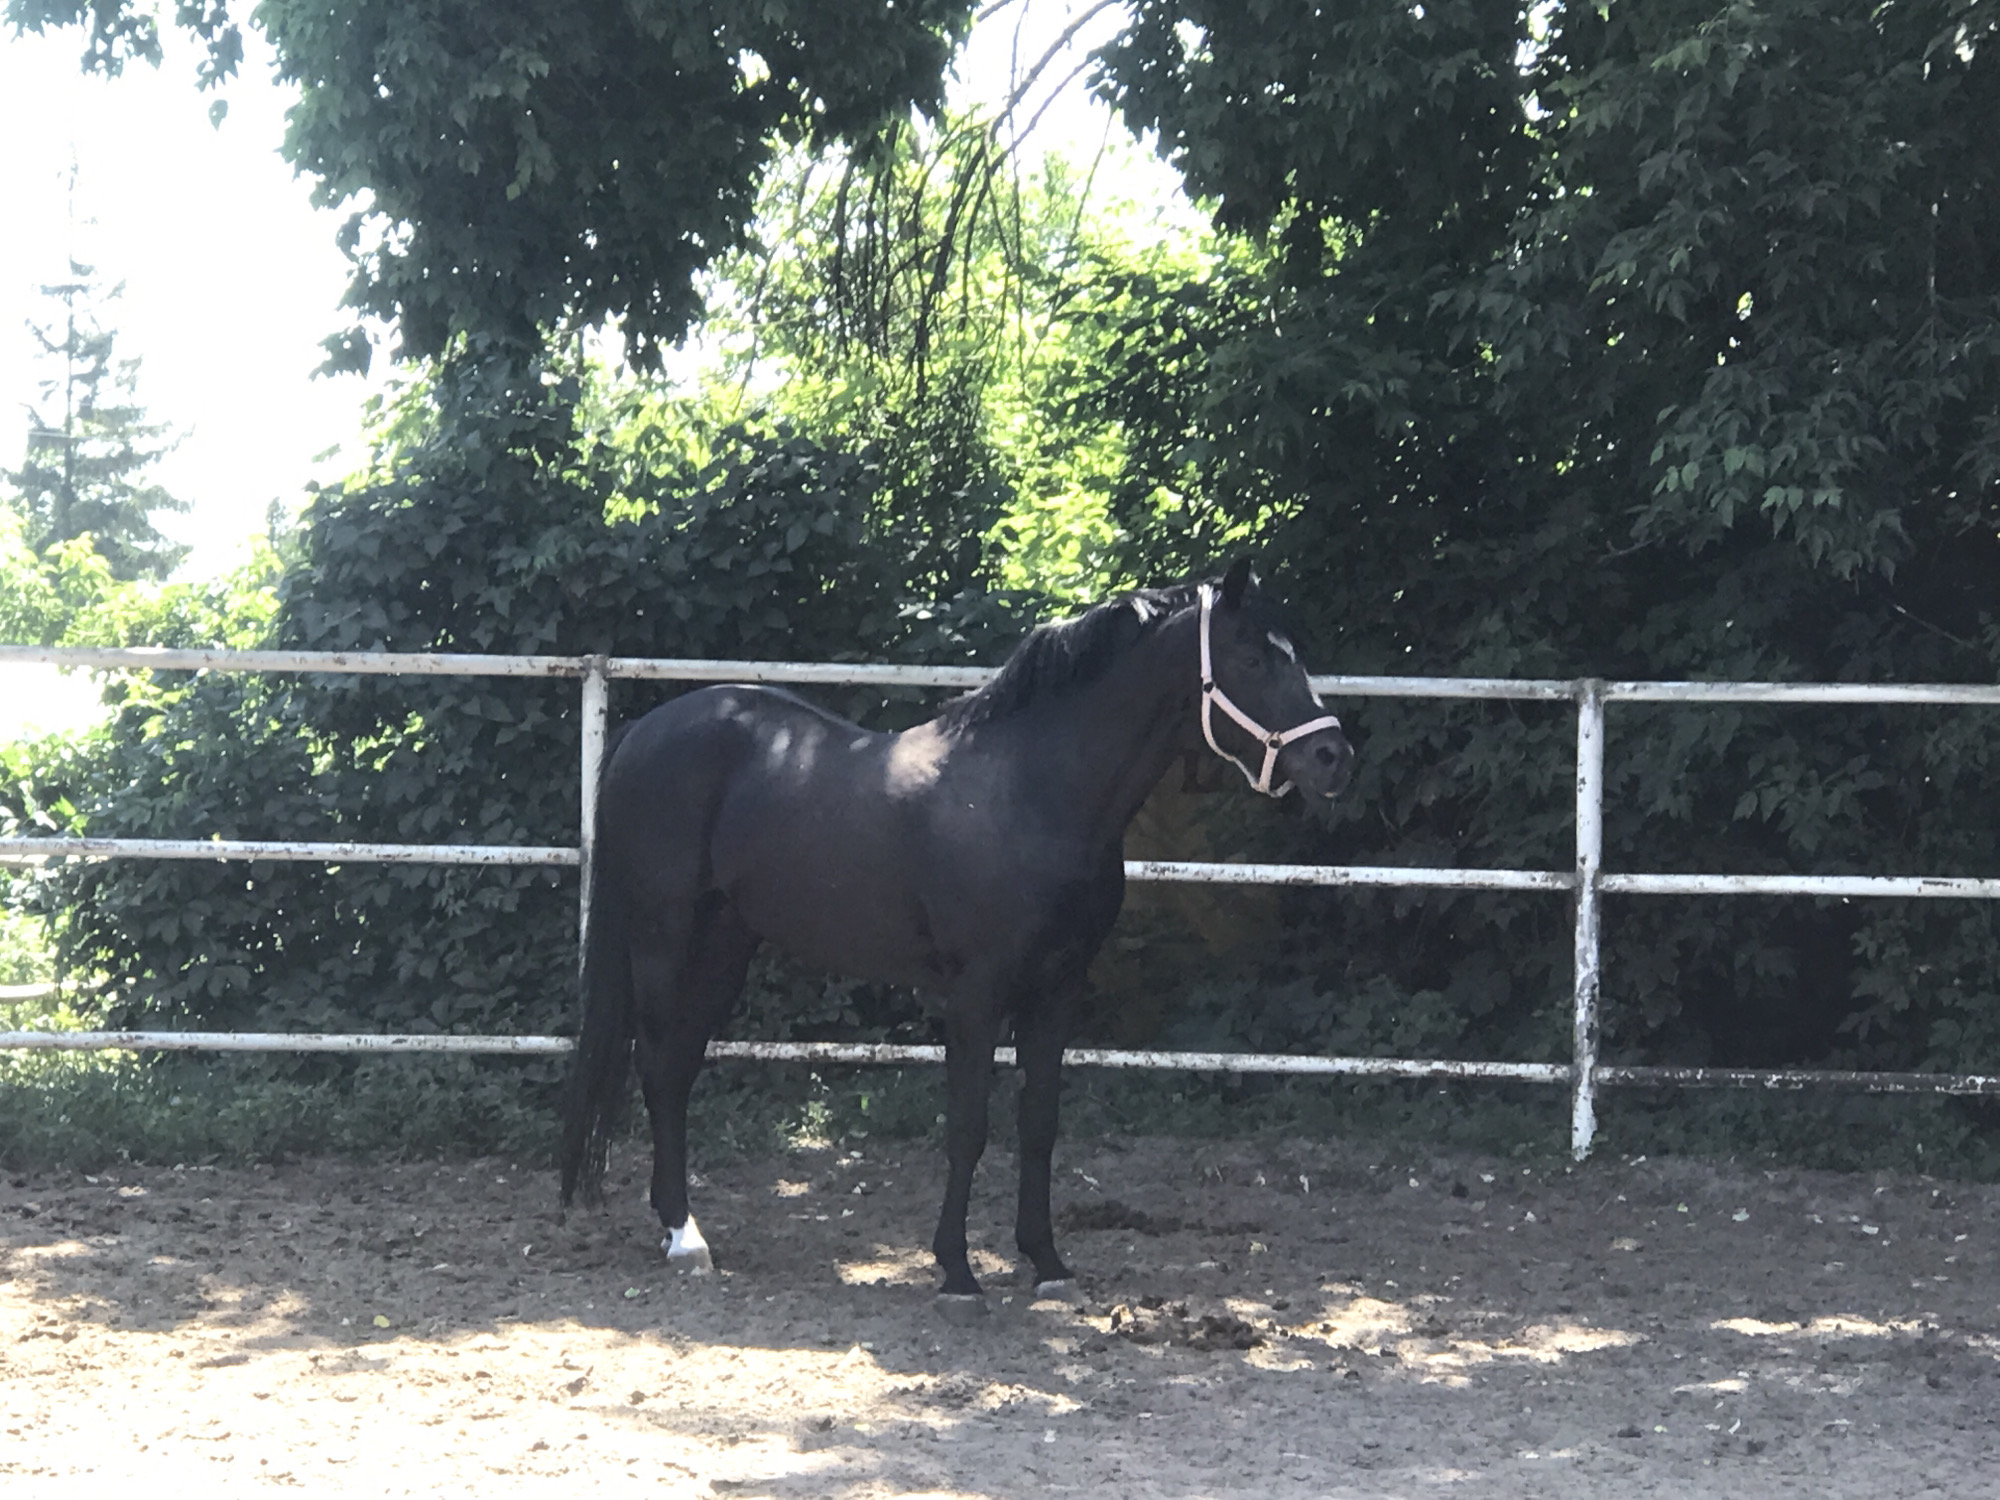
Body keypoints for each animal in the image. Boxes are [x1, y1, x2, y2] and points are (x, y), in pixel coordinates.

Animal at [558, 560, 1353, 1317]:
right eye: (1252, 657)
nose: (1333, 758)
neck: (1032, 794)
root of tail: (645, 731)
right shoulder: (976, 993)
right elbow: (969, 1125)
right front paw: (958, 1273)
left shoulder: (1058, 988)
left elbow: (1039, 1122)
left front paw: (1047, 1263)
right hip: (662, 938)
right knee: (658, 1063)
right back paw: (683, 1237)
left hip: (726, 944)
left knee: (680, 1067)